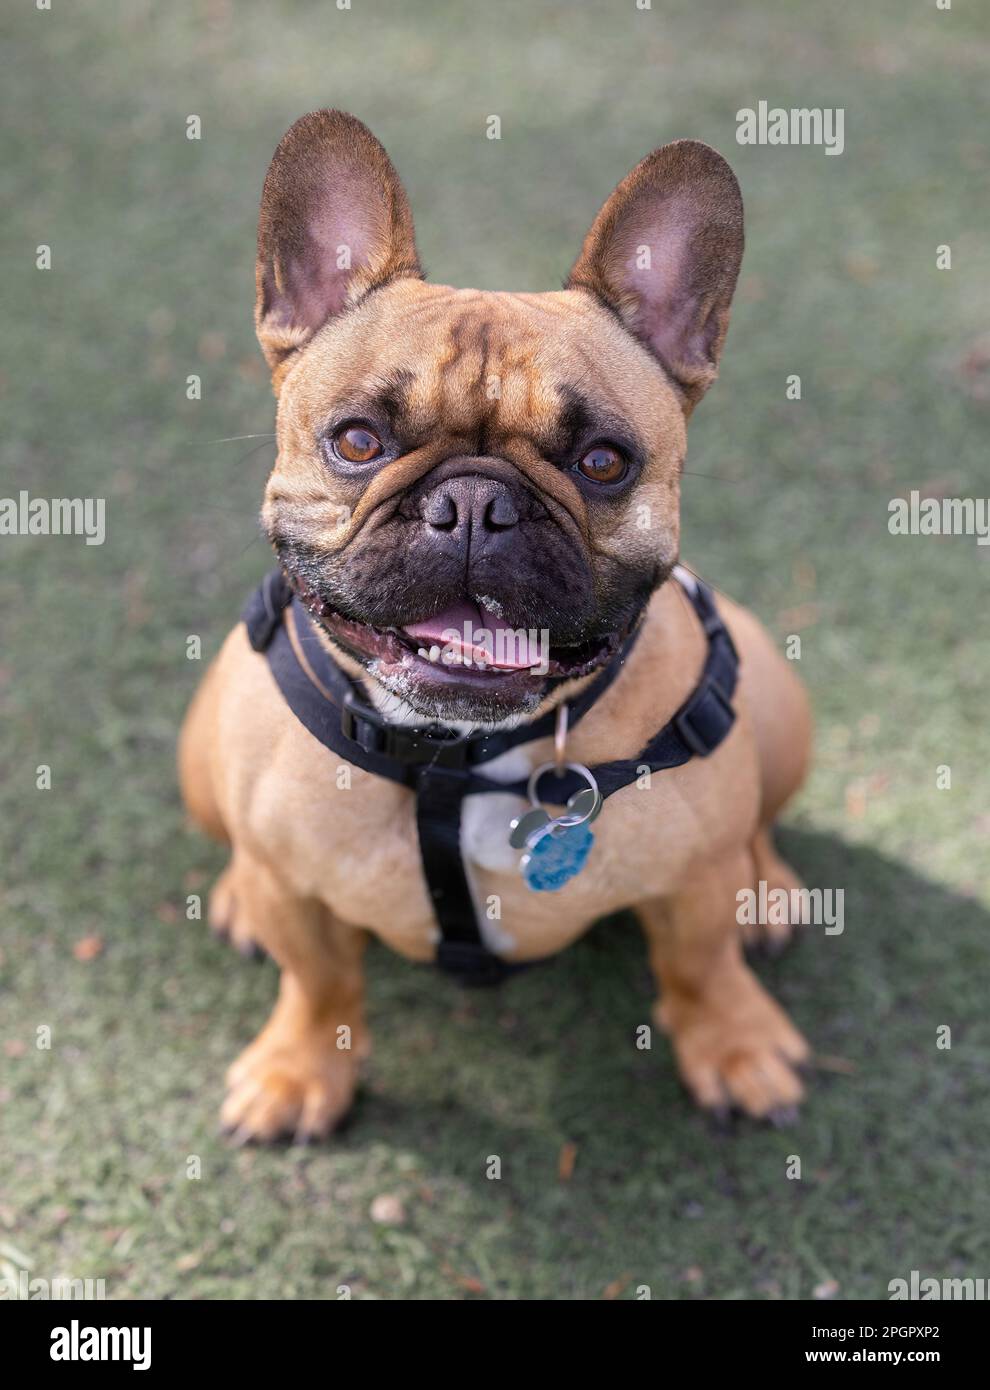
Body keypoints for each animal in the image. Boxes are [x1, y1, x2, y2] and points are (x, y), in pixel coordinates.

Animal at [177, 111, 812, 1139]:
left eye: (604, 462)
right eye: (357, 441)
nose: (475, 504)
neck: (457, 757)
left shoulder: (695, 881)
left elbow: (700, 964)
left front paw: (737, 1044)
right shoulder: (300, 904)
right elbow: (318, 982)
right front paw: (297, 1070)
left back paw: (773, 892)